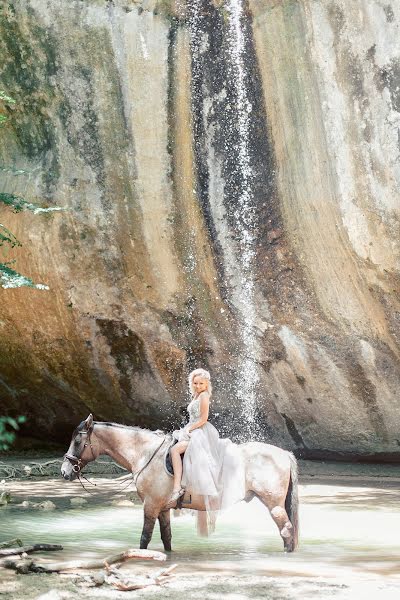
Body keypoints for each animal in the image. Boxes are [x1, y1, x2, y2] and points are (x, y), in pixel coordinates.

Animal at [61, 414, 298, 552]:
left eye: (78, 441)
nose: (64, 471)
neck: (145, 453)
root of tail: (284, 454)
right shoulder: (162, 508)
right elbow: (166, 537)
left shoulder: (150, 505)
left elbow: (145, 538)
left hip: (274, 505)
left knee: (286, 529)